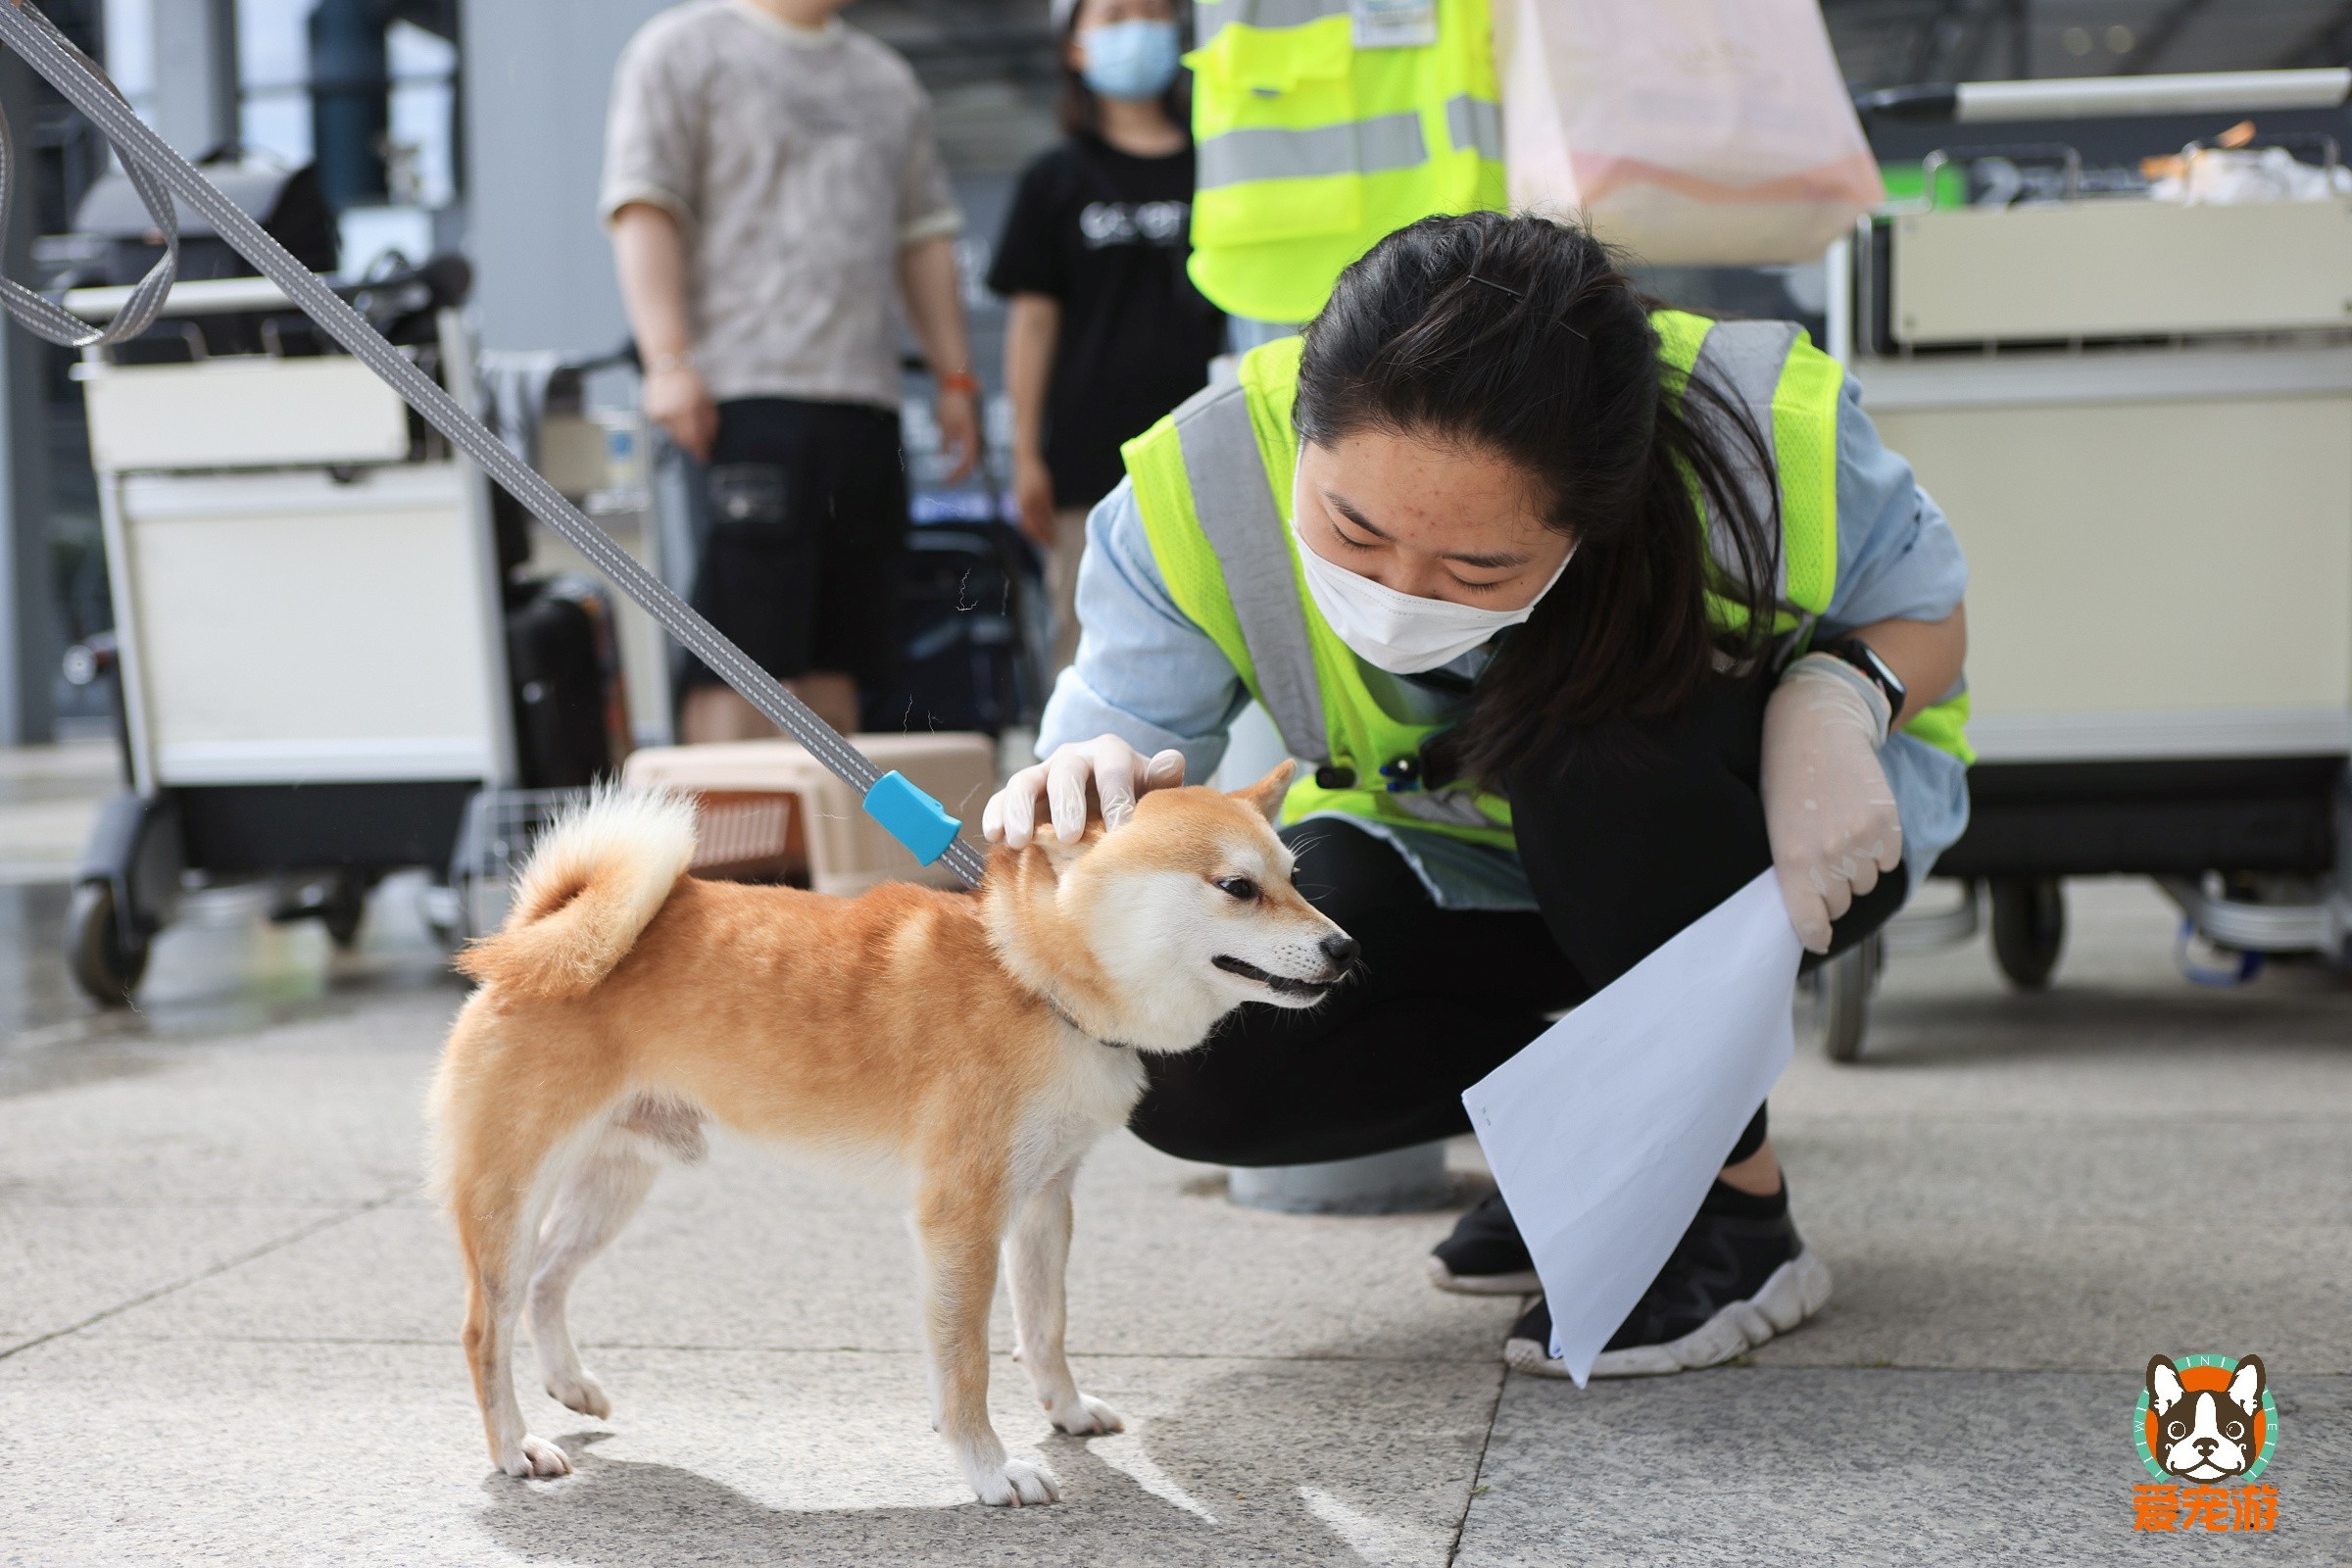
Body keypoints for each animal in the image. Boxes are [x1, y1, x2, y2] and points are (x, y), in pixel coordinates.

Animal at [432, 770, 1354, 1504]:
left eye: (1296, 878)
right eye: (1237, 887)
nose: (1344, 947)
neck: (1032, 982)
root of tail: (535, 929)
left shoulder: (1044, 1204)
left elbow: (1045, 1329)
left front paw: (1063, 1410)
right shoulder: (962, 1218)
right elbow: (969, 1364)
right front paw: (990, 1470)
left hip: (615, 1184)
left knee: (547, 1283)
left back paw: (568, 1385)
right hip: (510, 1196)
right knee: (484, 1329)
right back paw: (514, 1448)